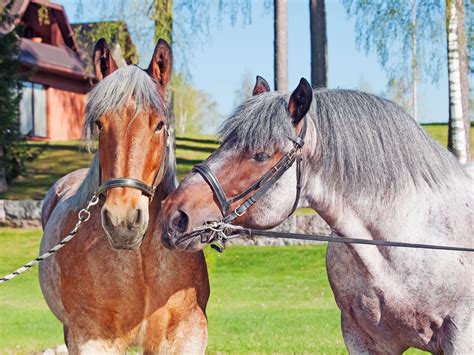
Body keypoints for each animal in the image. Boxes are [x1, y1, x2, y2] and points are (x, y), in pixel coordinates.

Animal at [39, 38, 210, 354]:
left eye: (159, 124)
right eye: (100, 124)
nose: (123, 221)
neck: (140, 261)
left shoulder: (185, 334)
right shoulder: (92, 338)